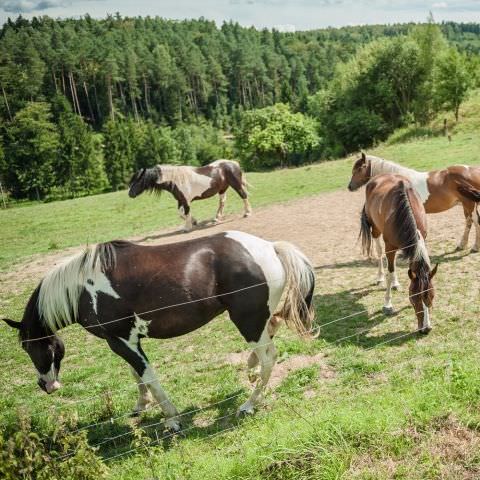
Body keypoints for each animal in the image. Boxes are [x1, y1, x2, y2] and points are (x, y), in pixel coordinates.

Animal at [2, 231, 316, 430]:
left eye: (29, 346)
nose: (45, 385)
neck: (83, 289)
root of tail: (270, 246)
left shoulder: (121, 341)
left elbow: (148, 376)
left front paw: (172, 419)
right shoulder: (124, 341)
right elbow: (136, 376)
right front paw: (141, 407)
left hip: (247, 321)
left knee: (269, 356)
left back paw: (249, 404)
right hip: (257, 320)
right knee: (271, 332)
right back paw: (250, 372)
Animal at [127, 160, 255, 232]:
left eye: (138, 181)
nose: (130, 194)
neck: (175, 180)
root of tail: (234, 163)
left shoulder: (186, 201)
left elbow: (186, 213)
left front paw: (188, 228)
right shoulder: (180, 200)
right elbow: (181, 213)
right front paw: (194, 222)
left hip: (236, 185)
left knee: (243, 195)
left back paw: (247, 213)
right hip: (222, 189)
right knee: (222, 202)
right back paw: (216, 218)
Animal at [346, 153, 480, 251]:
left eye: (358, 169)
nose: (350, 186)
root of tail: (473, 170)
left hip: (470, 204)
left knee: (475, 222)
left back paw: (475, 247)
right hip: (466, 205)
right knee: (469, 222)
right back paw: (462, 245)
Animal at [360, 173, 438, 334]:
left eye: (432, 296)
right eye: (414, 298)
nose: (426, 328)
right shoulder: (390, 247)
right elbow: (390, 271)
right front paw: (387, 304)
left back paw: (396, 283)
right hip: (375, 229)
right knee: (379, 253)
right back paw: (380, 277)